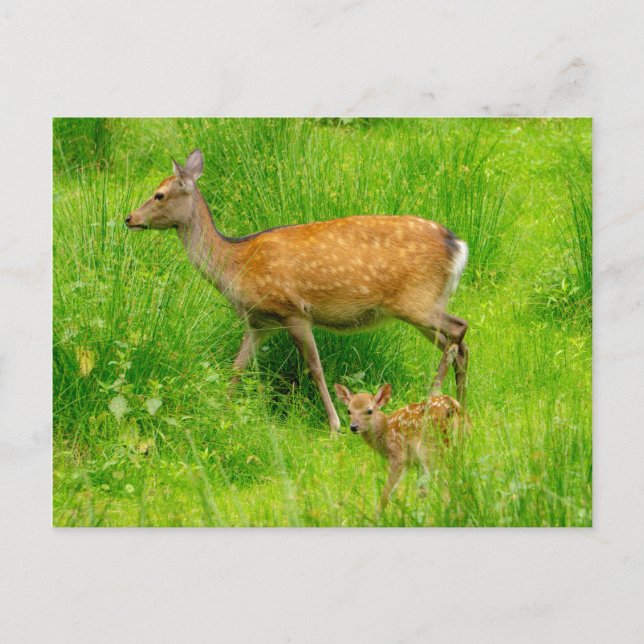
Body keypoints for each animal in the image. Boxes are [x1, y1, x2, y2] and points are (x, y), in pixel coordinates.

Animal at [125, 149, 470, 434]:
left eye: (159, 195)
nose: (130, 218)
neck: (235, 265)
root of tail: (459, 246)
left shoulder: (292, 310)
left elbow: (315, 367)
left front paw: (335, 425)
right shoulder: (258, 322)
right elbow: (238, 366)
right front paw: (222, 411)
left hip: (416, 301)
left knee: (459, 329)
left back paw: (433, 399)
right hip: (423, 304)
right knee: (456, 345)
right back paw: (459, 405)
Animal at [334, 383, 468, 512]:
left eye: (369, 411)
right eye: (348, 411)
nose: (353, 426)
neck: (385, 430)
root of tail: (452, 406)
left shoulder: (398, 455)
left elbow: (387, 493)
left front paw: (376, 515)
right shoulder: (411, 462)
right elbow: (421, 489)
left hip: (429, 448)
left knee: (444, 481)